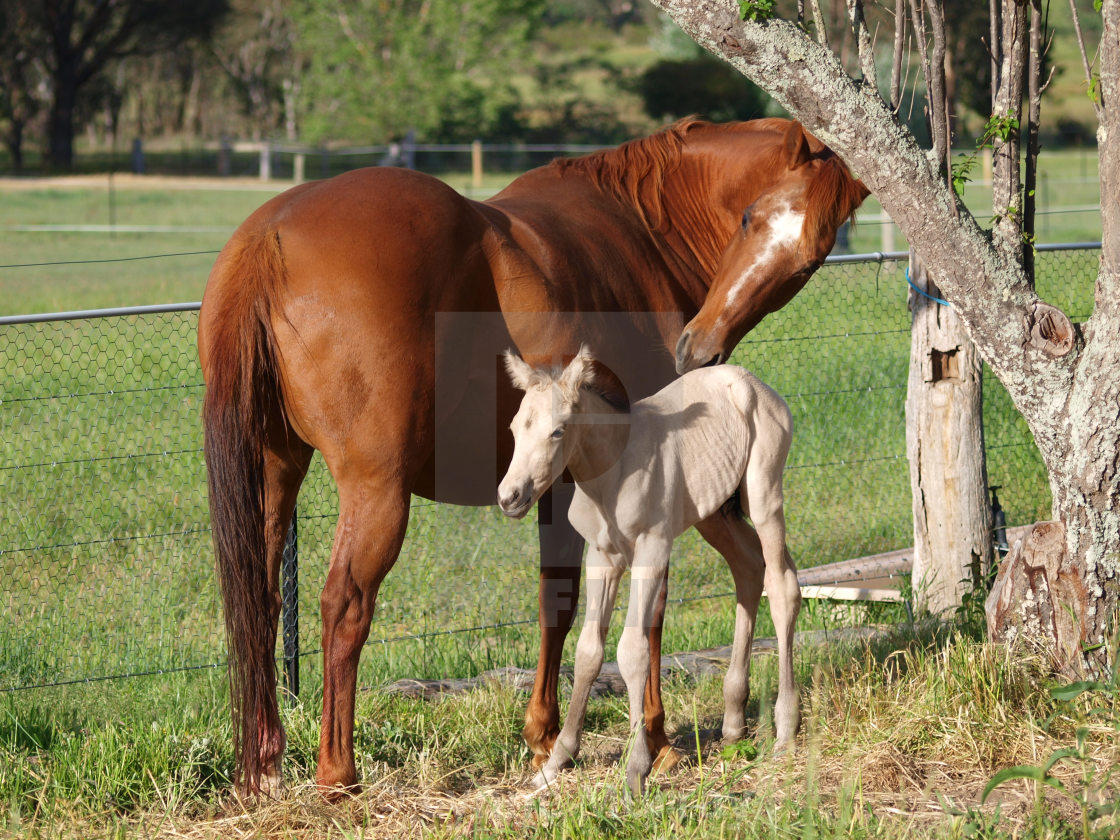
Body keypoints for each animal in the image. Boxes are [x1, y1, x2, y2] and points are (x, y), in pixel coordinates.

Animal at [495, 349, 801, 797]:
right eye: (515, 428)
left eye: (557, 431)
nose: (510, 497)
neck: (611, 476)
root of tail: (751, 381)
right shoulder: (602, 557)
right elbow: (588, 651)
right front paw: (556, 761)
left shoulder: (652, 548)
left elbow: (632, 650)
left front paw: (637, 769)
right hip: (712, 513)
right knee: (749, 568)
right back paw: (733, 722)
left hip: (763, 493)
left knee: (782, 586)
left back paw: (784, 731)